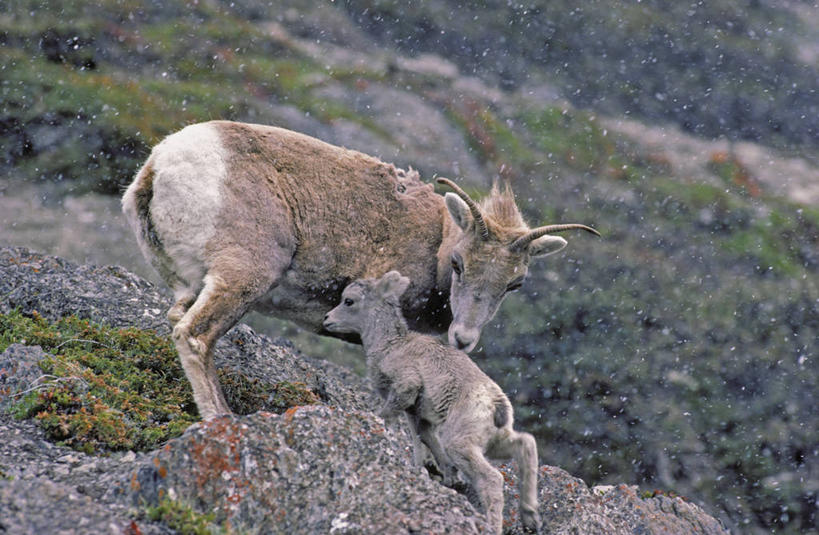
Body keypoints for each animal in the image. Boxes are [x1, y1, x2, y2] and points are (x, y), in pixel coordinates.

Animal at [120, 120, 596, 418]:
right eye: (459, 264)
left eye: (515, 283)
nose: (463, 338)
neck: (436, 241)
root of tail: (158, 167)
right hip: (243, 277)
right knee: (195, 336)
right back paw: (221, 417)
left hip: (192, 284)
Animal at [324, 272, 540, 535]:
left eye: (349, 301)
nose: (327, 319)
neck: (391, 345)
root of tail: (496, 404)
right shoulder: (417, 415)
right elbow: (424, 440)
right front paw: (445, 476)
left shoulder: (406, 388)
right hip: (493, 442)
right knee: (526, 444)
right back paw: (530, 517)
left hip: (461, 445)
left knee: (492, 479)